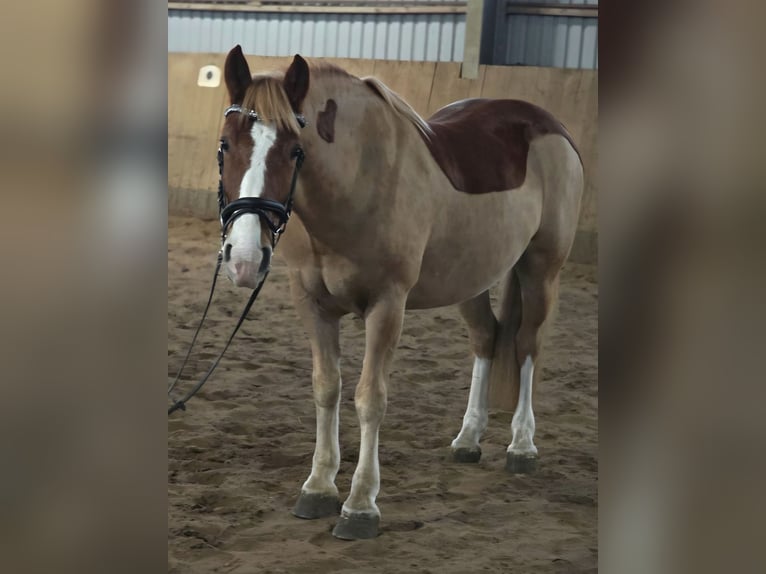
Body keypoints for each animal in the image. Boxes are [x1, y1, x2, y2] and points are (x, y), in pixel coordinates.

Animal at [216, 45, 583, 540]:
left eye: (296, 151)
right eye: (224, 146)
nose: (244, 257)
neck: (361, 180)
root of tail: (550, 125)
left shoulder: (387, 306)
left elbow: (370, 398)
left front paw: (360, 506)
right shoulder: (312, 305)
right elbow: (326, 388)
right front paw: (318, 487)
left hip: (540, 271)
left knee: (527, 345)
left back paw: (522, 445)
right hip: (471, 278)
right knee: (486, 339)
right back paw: (468, 440)